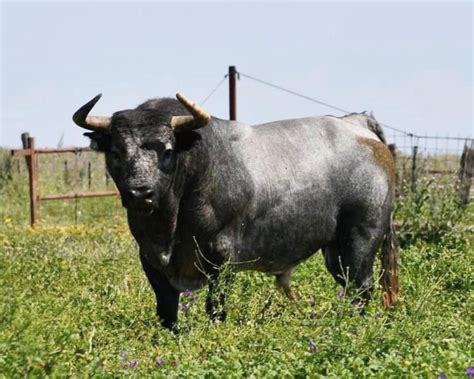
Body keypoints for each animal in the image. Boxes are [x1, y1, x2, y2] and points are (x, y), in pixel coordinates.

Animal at [72, 93, 398, 332]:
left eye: (167, 150)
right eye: (116, 152)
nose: (140, 192)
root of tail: (356, 122)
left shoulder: (222, 258)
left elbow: (215, 308)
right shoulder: (151, 260)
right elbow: (167, 313)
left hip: (360, 241)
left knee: (361, 289)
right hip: (334, 251)